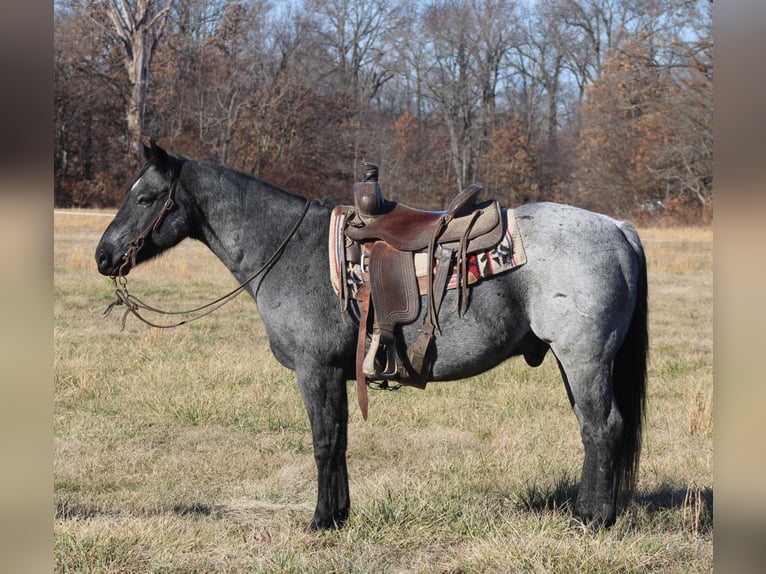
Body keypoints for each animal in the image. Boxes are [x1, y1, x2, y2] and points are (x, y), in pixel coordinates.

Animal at [96, 143, 648, 532]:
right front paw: (339, 515)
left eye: (145, 197)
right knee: (593, 430)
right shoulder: (335, 375)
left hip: (584, 358)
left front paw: (320, 521)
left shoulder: (314, 370)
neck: (290, 250)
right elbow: (339, 440)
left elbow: (323, 441)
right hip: (573, 363)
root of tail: (618, 228)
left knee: (603, 429)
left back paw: (592, 519)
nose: (104, 256)